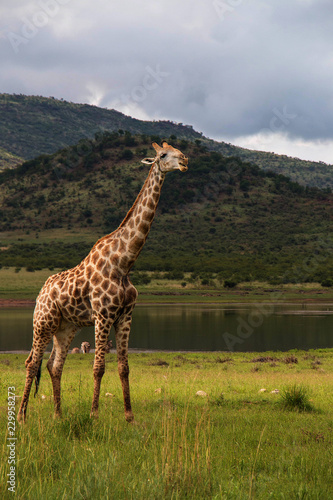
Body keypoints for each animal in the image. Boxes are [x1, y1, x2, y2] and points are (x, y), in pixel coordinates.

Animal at [18, 141, 188, 422]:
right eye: (164, 154)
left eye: (178, 149)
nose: (184, 161)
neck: (124, 262)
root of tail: (40, 293)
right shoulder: (103, 315)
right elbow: (98, 367)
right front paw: (94, 414)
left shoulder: (126, 316)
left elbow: (124, 367)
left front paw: (129, 416)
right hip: (42, 322)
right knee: (32, 363)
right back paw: (21, 416)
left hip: (66, 327)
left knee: (54, 365)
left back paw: (58, 415)